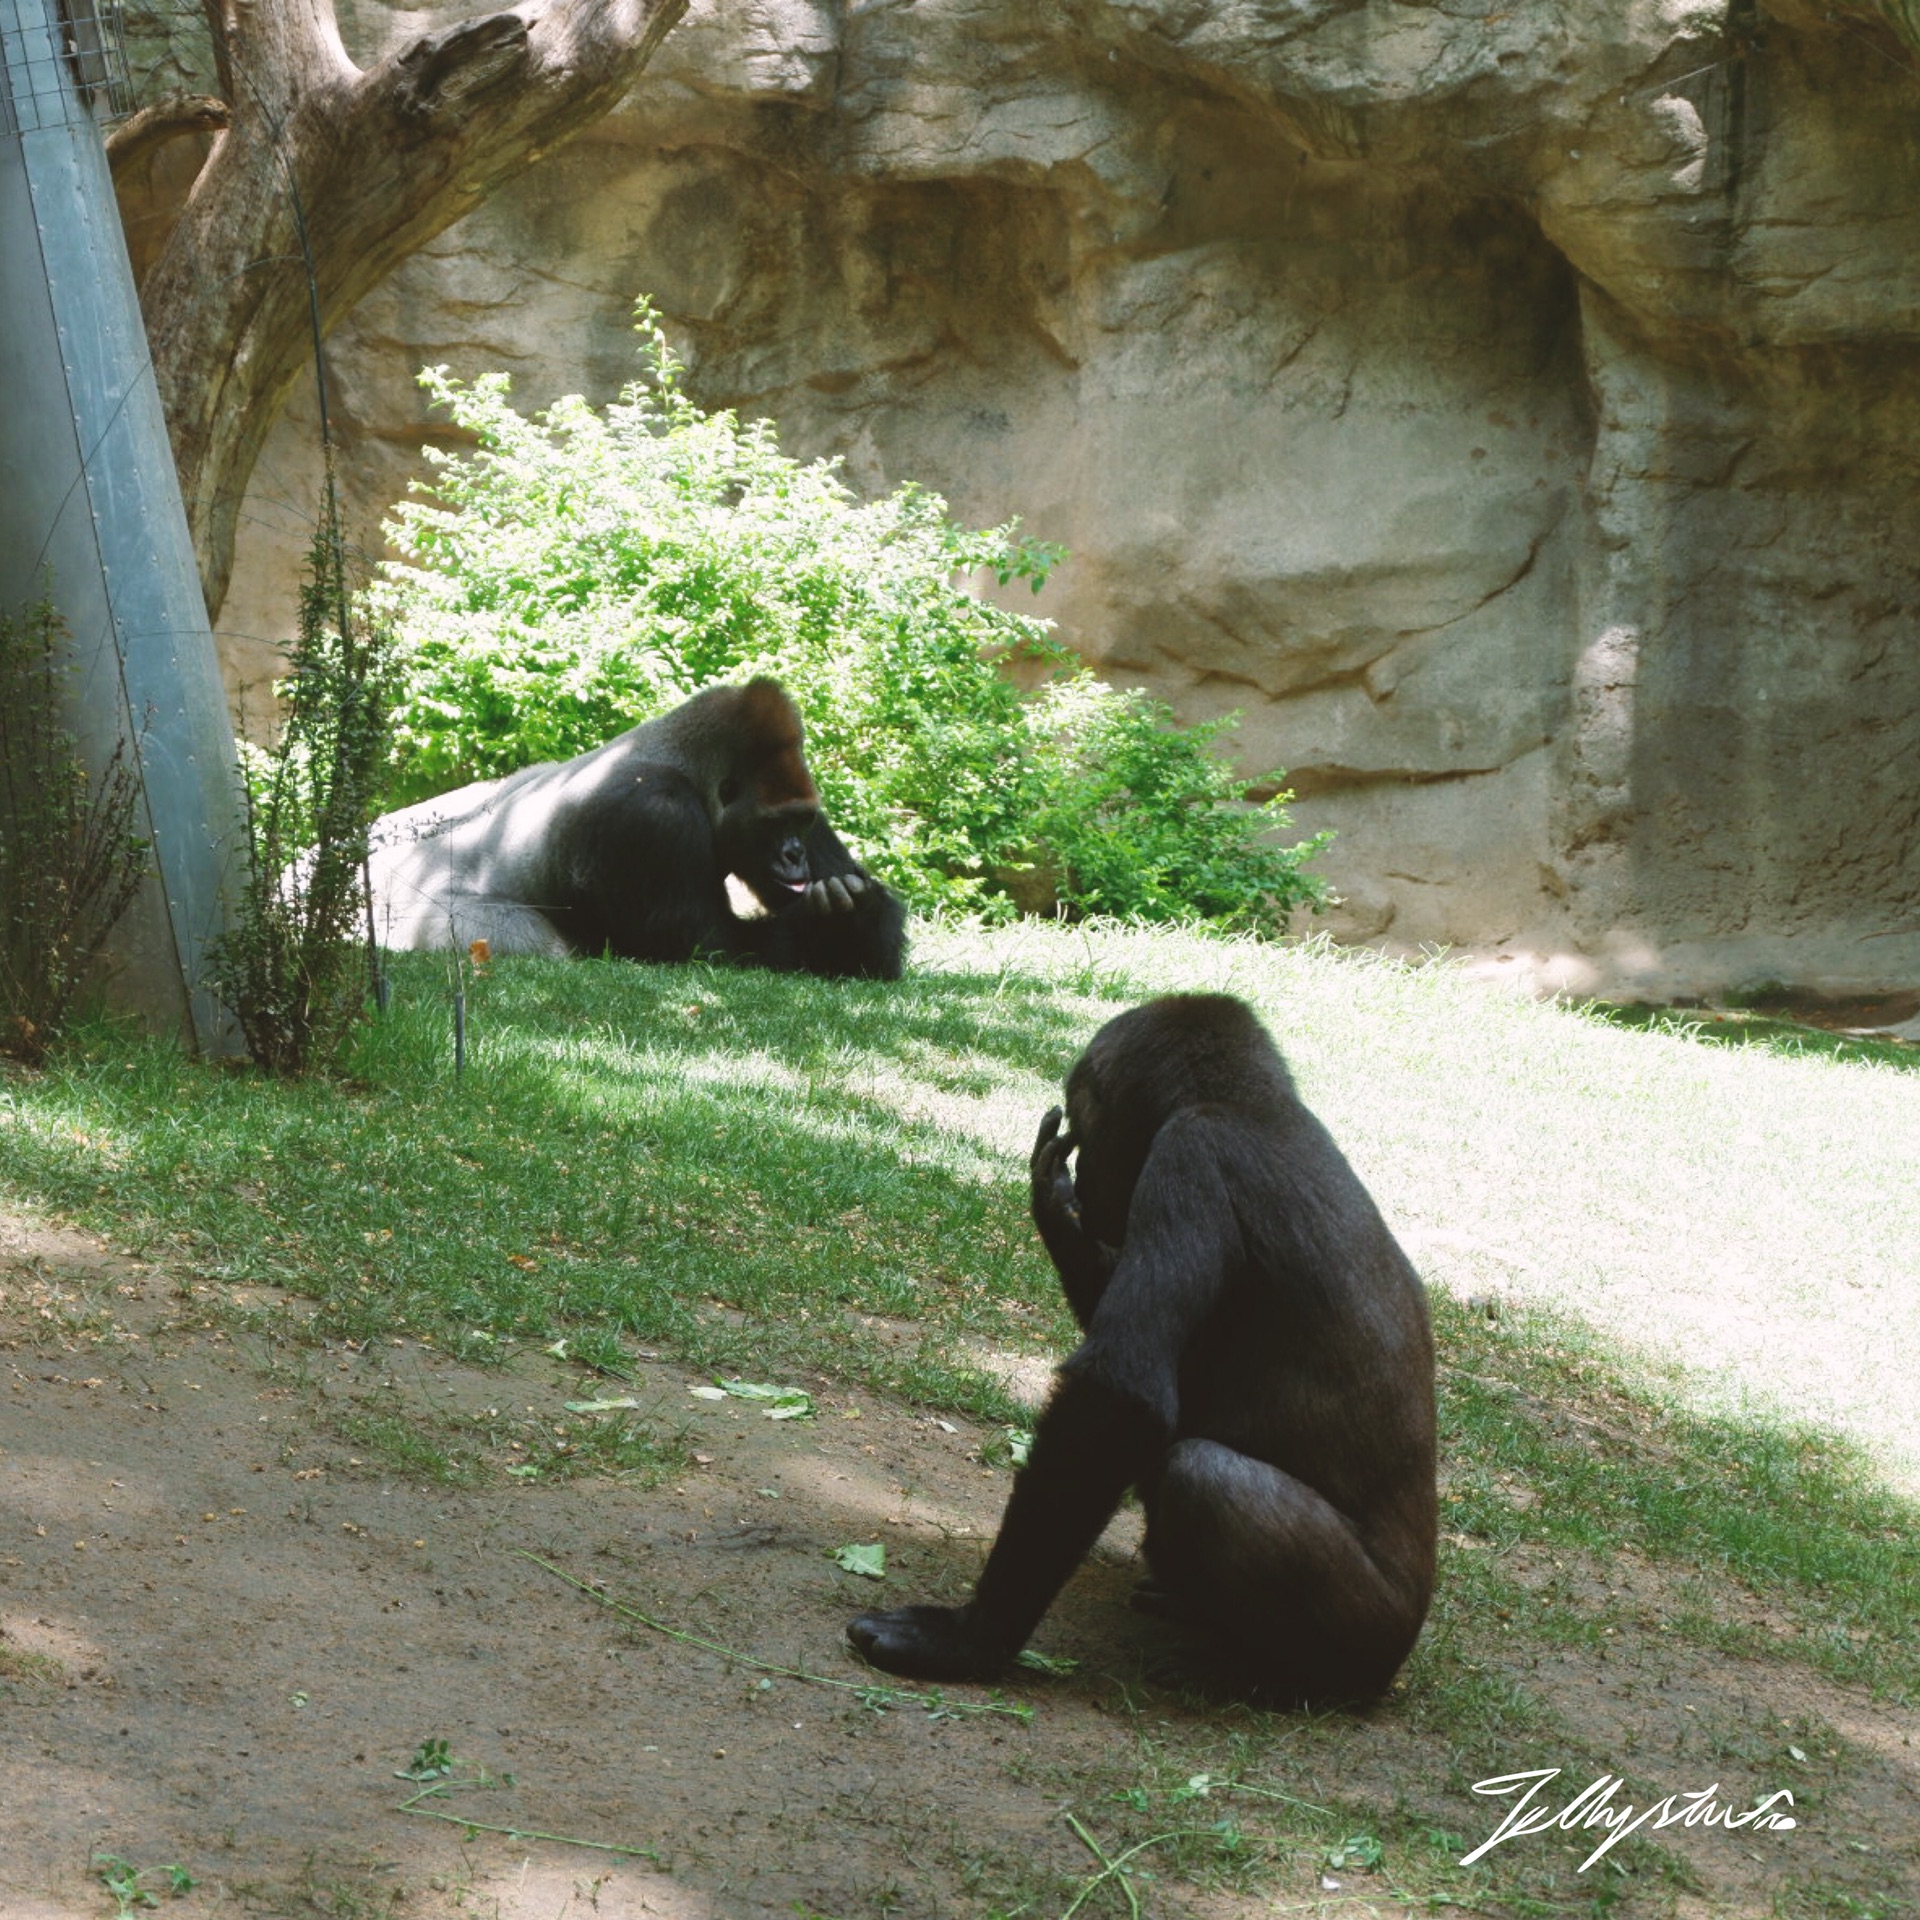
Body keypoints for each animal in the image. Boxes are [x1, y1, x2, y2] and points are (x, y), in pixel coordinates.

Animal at [366, 675, 906, 975]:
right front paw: (833, 929)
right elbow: (710, 947)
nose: (794, 855)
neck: (689, 766)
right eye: (773, 825)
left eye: (802, 820)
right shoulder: (655, 814)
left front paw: (860, 924)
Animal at [848, 998, 1436, 1704]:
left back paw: (1266, 1675)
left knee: (1205, 1477)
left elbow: (1118, 1394)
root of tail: (1402, 1658)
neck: (1252, 1105)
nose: (1088, 1181)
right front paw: (1060, 1218)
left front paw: (972, 1636)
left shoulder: (1189, 1158)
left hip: (1372, 1637)